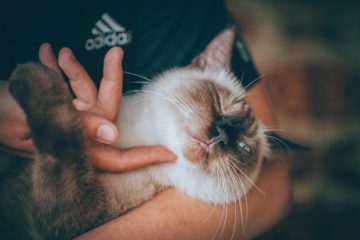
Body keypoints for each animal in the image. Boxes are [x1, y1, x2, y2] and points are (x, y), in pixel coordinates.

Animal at [0, 28, 270, 240]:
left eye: (244, 147)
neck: (143, 135)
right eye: (220, 104)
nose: (222, 135)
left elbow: (64, 134)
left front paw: (30, 75)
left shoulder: (75, 214)